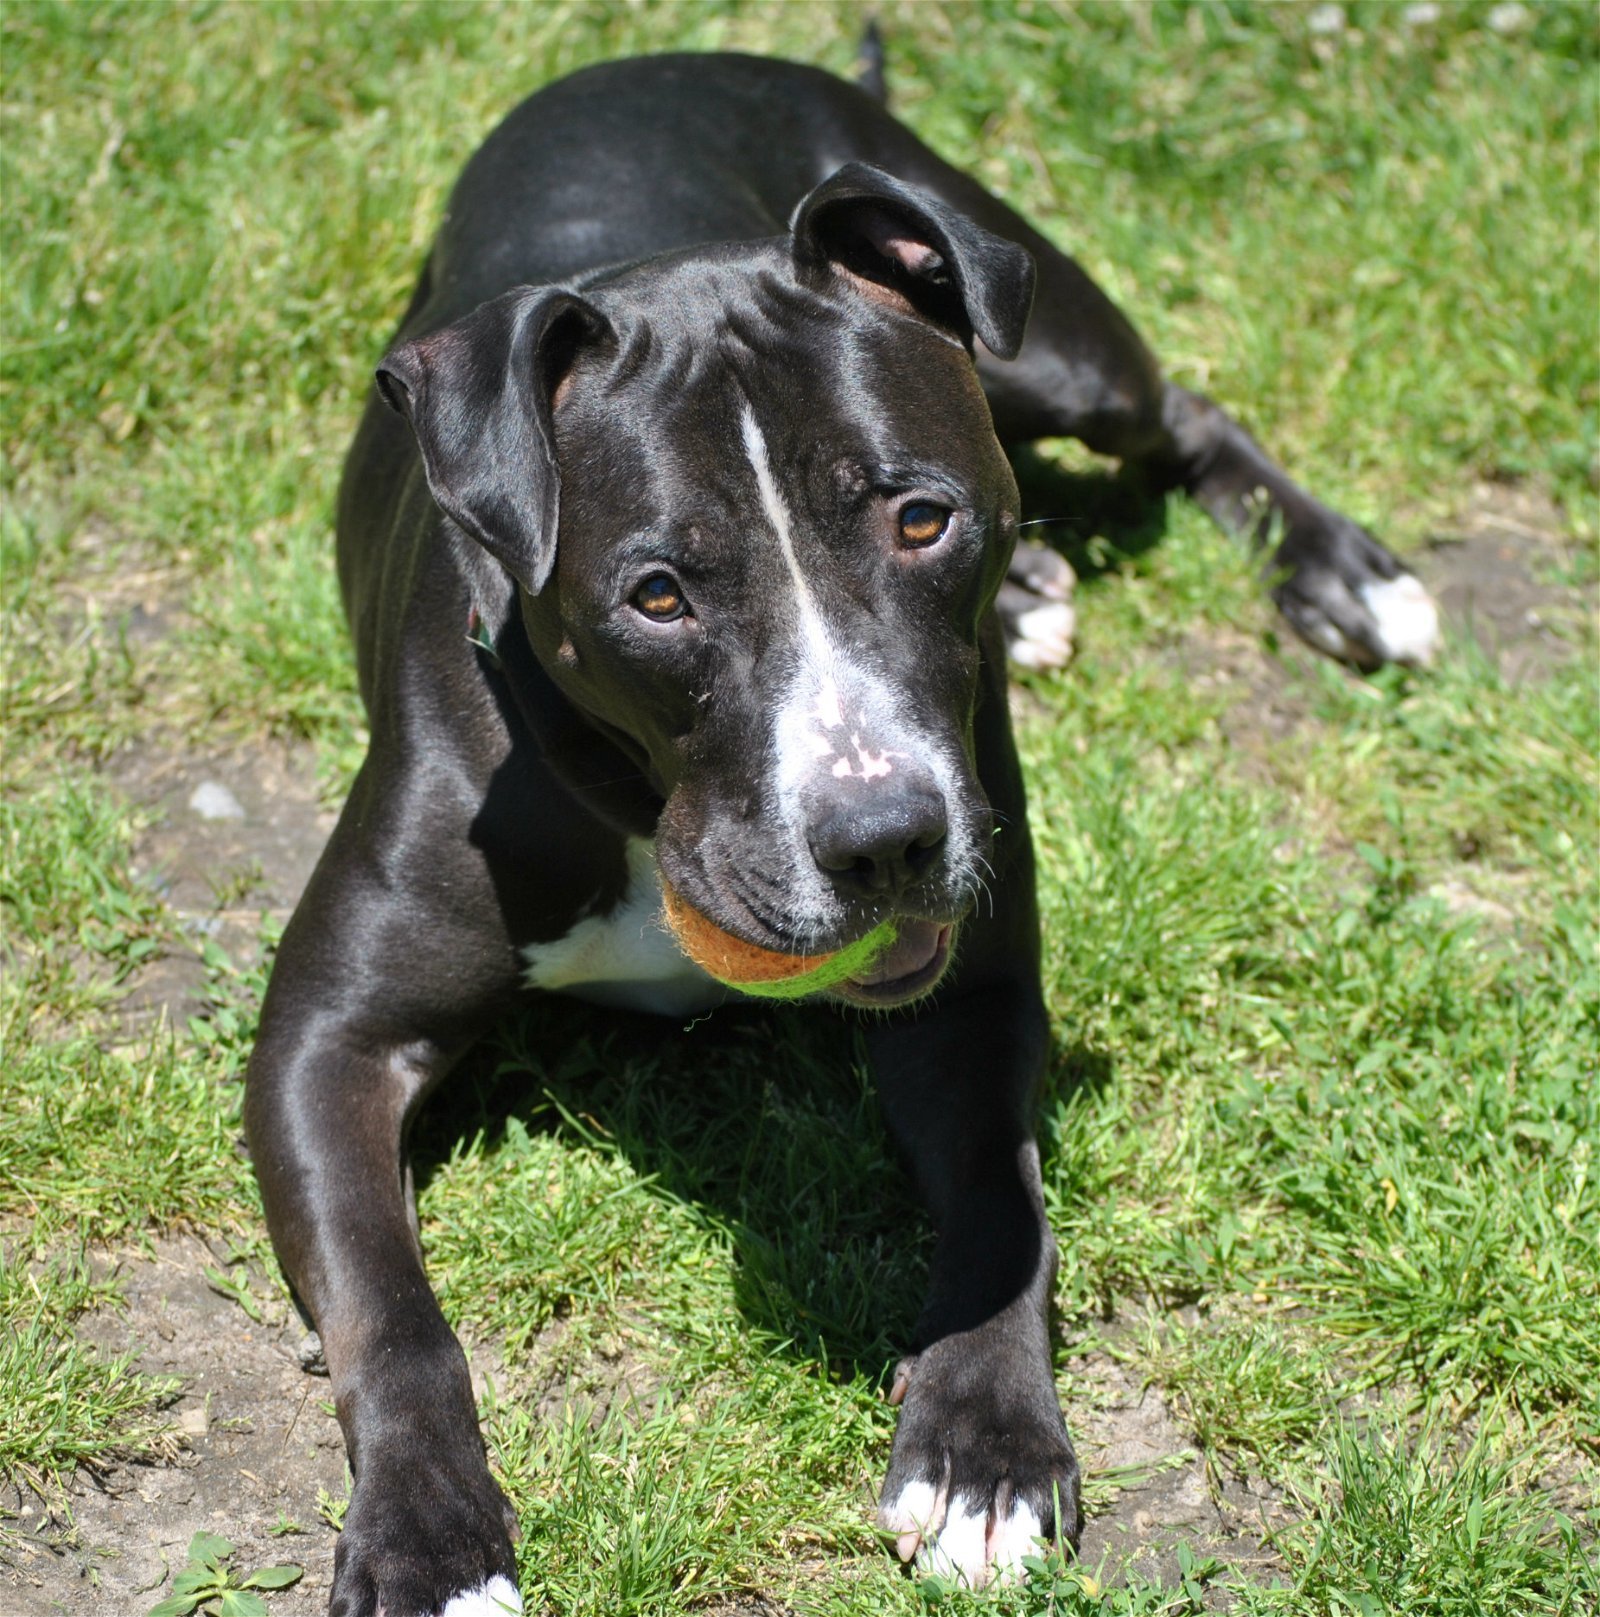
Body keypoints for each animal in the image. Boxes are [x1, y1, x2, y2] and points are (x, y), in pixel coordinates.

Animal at [244, 44, 1443, 1610]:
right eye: (658, 595)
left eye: (921, 520)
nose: (883, 839)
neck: (638, 805)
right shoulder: (328, 1039)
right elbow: (392, 1313)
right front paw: (425, 1536)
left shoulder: (972, 996)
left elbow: (1004, 1205)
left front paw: (983, 1446)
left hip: (1050, 346)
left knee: (1181, 407)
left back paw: (1345, 576)